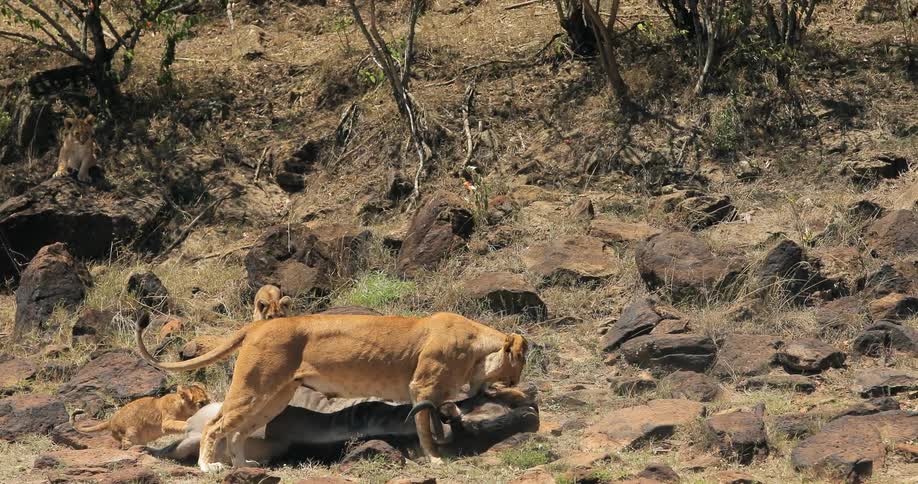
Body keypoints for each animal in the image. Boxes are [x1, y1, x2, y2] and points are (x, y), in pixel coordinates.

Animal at [71, 383, 210, 449]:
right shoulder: (166, 422)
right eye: (201, 403)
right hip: (131, 432)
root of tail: (110, 420)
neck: (182, 408)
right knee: (125, 444)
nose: (211, 406)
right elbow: (184, 423)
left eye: (208, 400)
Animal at [135, 311, 528, 472]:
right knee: (216, 425)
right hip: (254, 387)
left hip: (274, 397)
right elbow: (426, 427)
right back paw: (209, 466)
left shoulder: (437, 391)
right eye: (518, 367)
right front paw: (434, 458)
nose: (519, 384)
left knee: (238, 432)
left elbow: (441, 418)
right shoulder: (422, 386)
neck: (477, 347)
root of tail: (257, 326)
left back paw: (243, 465)